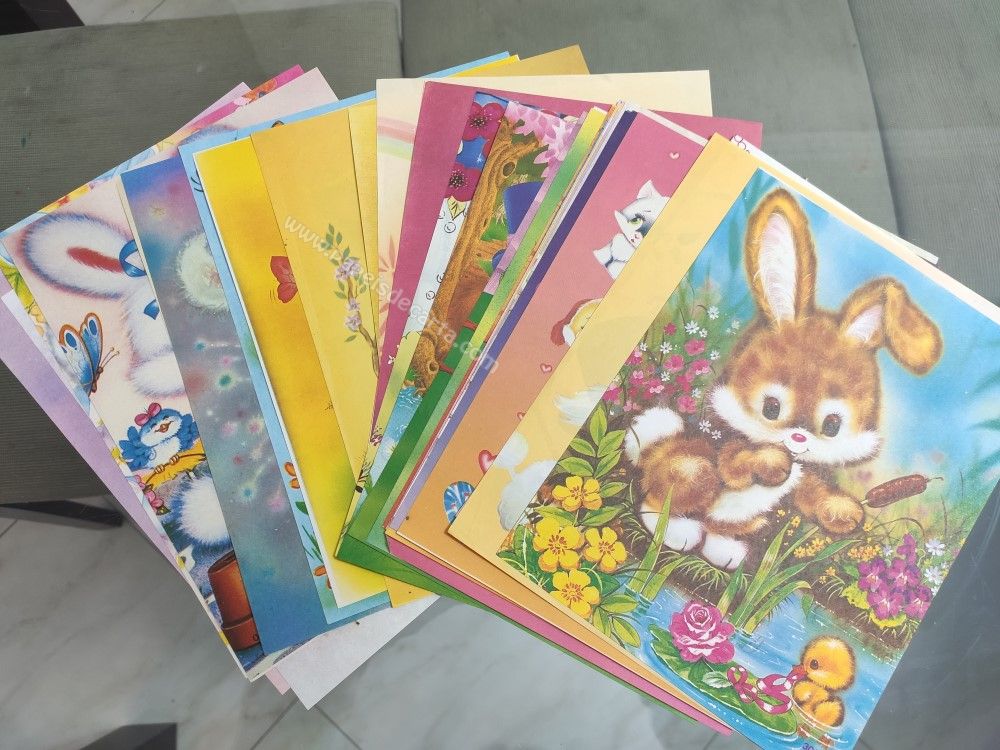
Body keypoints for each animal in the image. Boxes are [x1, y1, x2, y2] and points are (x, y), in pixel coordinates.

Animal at [624, 188, 943, 571]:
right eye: (771, 408)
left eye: (833, 425)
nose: (798, 438)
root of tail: (655, 448)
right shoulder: (731, 451)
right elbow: (736, 464)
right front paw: (774, 464)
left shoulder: (805, 481)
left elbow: (814, 494)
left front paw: (845, 512)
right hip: (689, 471)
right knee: (660, 498)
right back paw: (676, 531)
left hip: (747, 519)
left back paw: (726, 552)